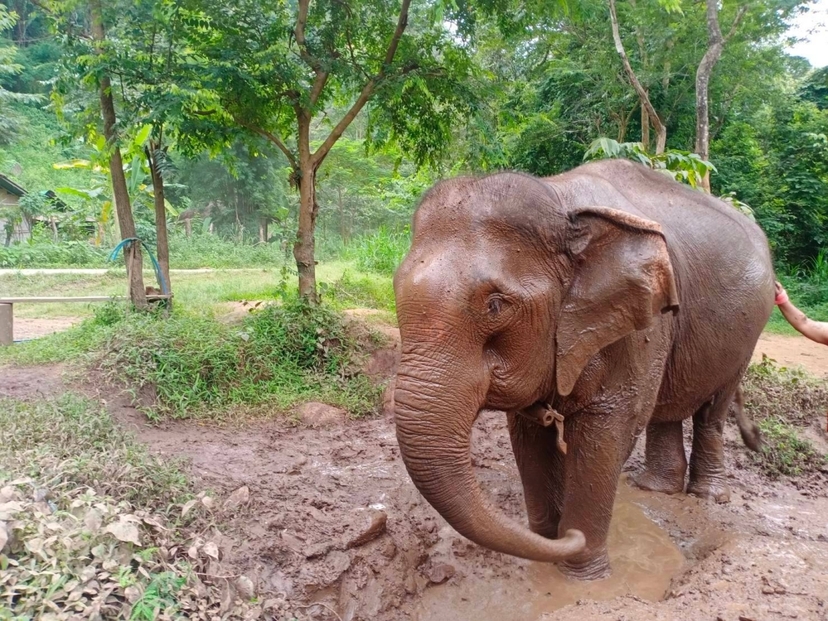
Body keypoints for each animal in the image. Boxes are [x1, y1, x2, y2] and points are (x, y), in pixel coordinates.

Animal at [391, 159, 774, 580]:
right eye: (394, 289)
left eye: (495, 305)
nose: (568, 535)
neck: (560, 199)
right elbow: (529, 437)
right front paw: (547, 545)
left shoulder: (643, 325)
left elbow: (607, 431)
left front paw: (581, 573)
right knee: (667, 409)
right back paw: (655, 489)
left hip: (748, 332)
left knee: (712, 410)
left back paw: (707, 494)